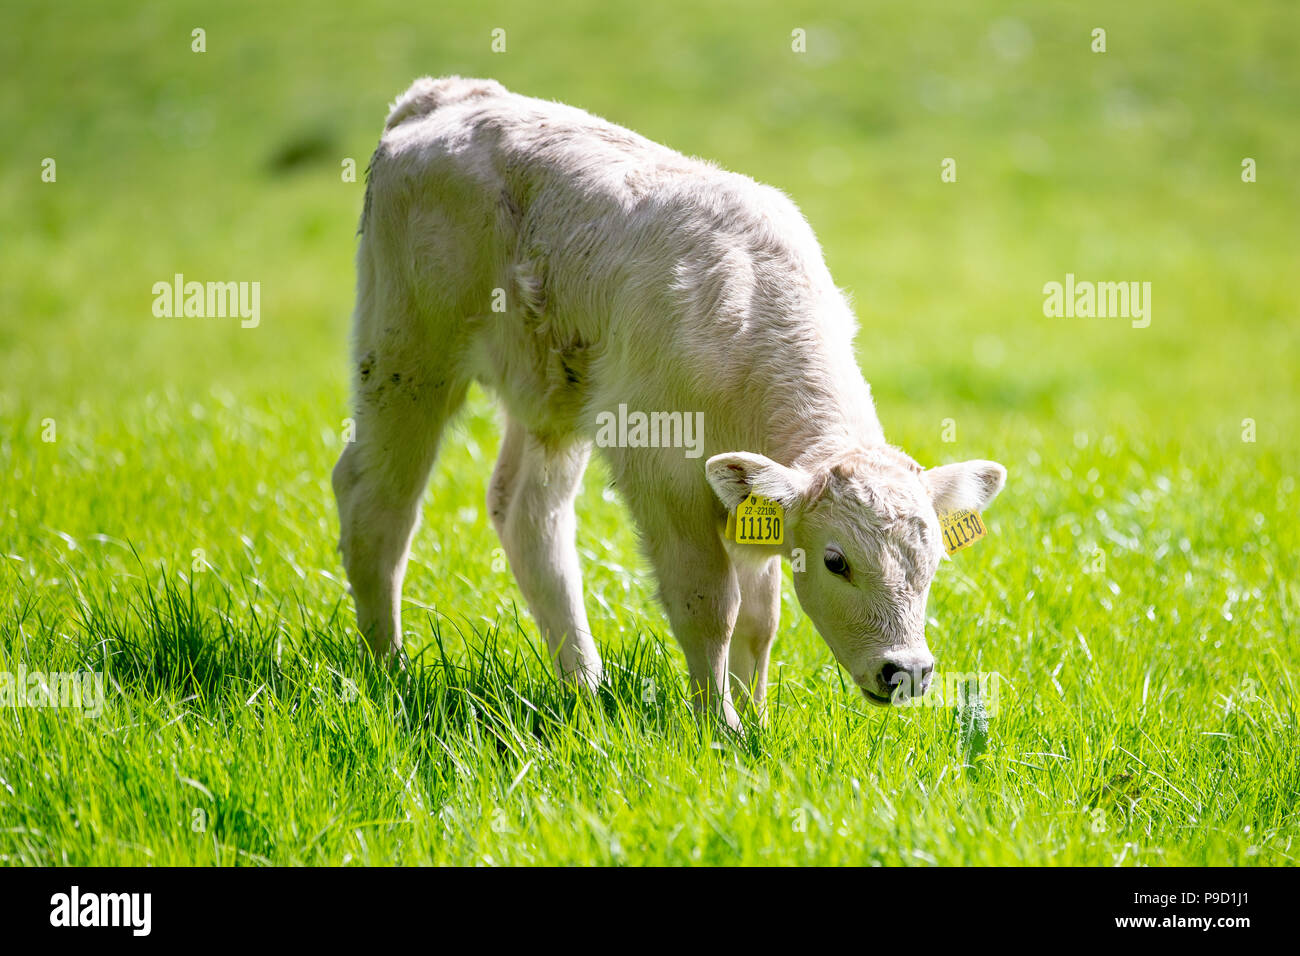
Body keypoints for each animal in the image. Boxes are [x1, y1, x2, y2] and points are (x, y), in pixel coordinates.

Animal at [332, 76, 1006, 730]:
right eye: (836, 561)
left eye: (932, 560)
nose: (907, 671)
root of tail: (447, 96)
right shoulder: (662, 478)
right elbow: (709, 606)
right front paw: (720, 725)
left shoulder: (747, 503)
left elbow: (760, 618)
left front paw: (756, 719)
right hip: (407, 353)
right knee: (377, 501)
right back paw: (390, 668)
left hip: (551, 397)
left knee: (527, 513)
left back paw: (584, 684)